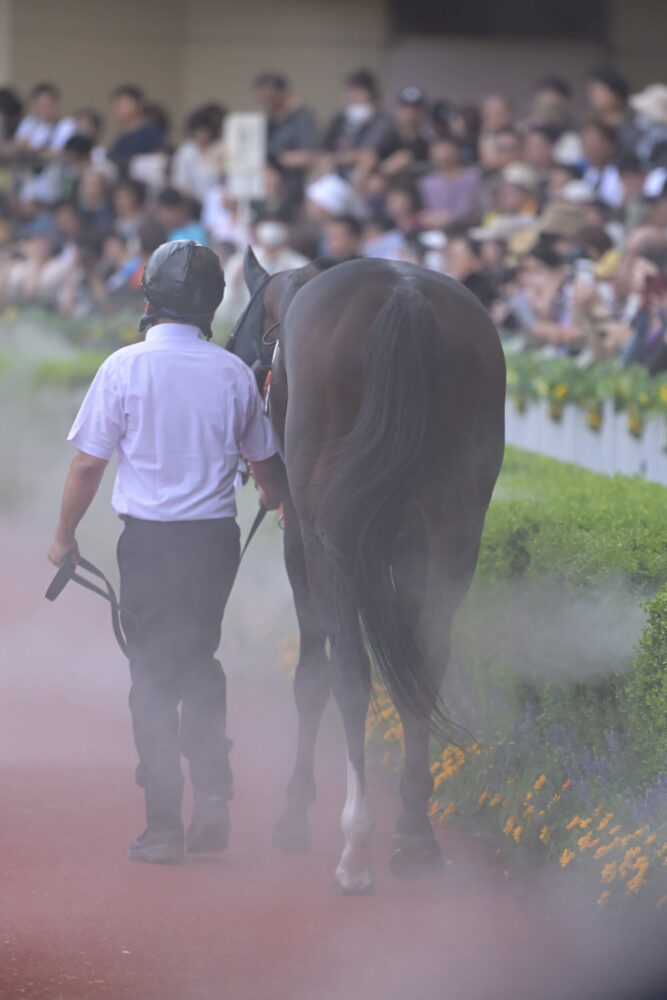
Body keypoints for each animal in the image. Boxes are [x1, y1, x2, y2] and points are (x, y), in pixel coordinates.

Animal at [227, 250, 504, 892]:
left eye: (242, 337)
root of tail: (404, 294)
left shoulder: (303, 541)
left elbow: (313, 676)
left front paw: (295, 811)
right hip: (454, 529)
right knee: (426, 664)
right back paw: (414, 835)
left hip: (332, 537)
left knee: (350, 674)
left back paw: (356, 844)